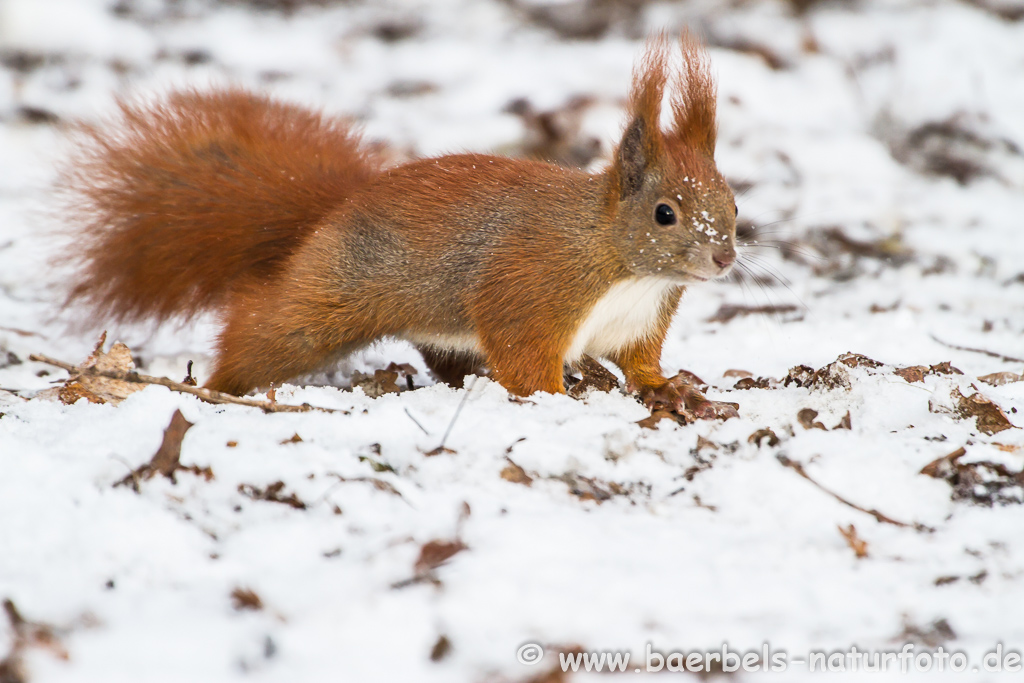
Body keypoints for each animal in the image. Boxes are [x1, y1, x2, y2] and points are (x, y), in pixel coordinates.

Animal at [59, 34, 737, 417]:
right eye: (665, 213)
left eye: (733, 206)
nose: (724, 259)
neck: (623, 267)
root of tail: (328, 215)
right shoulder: (530, 288)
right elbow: (525, 362)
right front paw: (559, 398)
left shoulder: (639, 321)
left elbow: (640, 363)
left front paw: (672, 389)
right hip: (327, 300)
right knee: (264, 330)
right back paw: (218, 389)